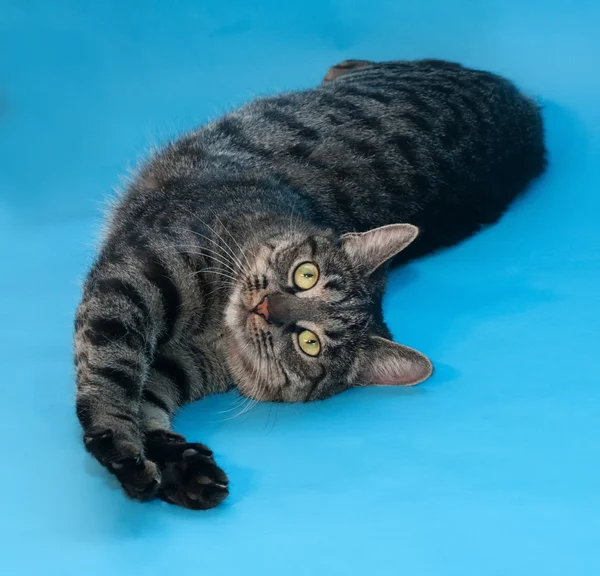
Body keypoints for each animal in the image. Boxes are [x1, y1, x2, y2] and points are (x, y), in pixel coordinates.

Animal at [72, 58, 548, 508]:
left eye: (310, 344)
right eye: (306, 274)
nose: (266, 308)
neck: (213, 328)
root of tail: (528, 107)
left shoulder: (181, 364)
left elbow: (147, 400)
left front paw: (186, 470)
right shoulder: (137, 277)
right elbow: (111, 371)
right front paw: (121, 446)